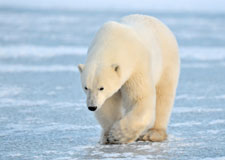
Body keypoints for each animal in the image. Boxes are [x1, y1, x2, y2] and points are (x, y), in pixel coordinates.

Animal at [78, 14, 180, 144]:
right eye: (86, 87)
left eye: (101, 88)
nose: (92, 107)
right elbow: (108, 104)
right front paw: (108, 135)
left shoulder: (137, 66)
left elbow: (140, 99)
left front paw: (118, 134)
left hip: (167, 62)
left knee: (163, 96)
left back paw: (153, 134)